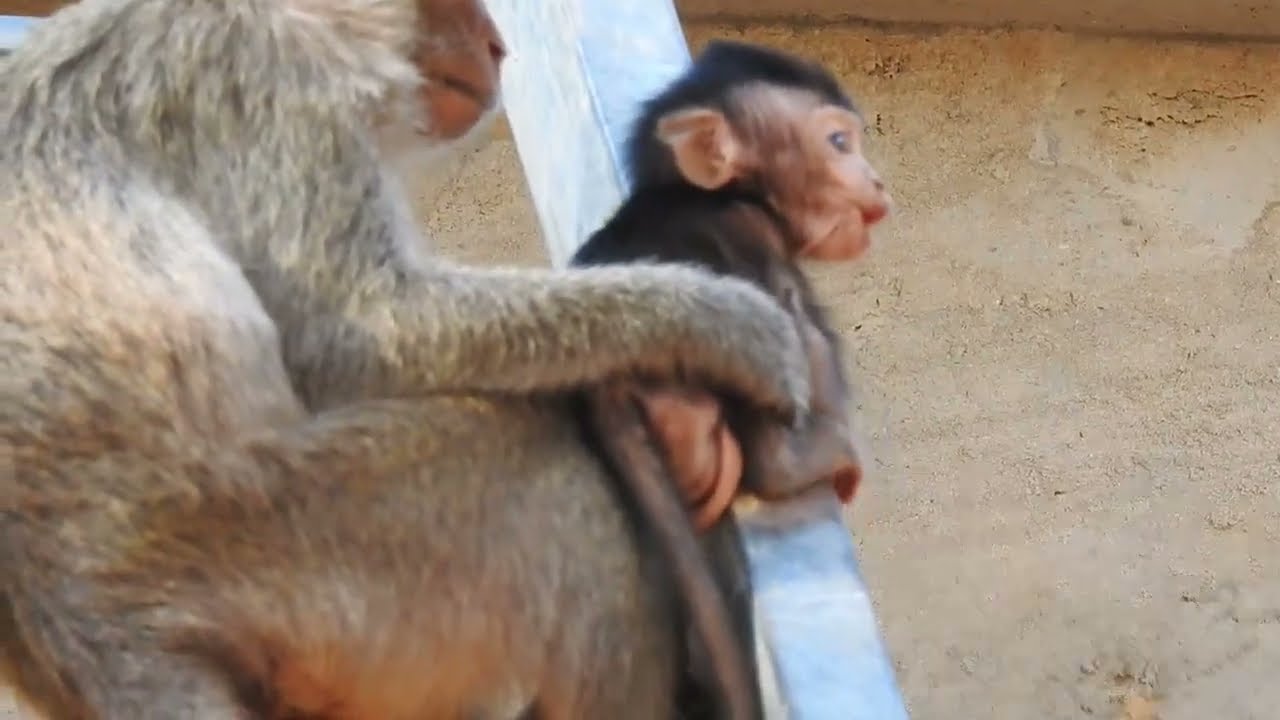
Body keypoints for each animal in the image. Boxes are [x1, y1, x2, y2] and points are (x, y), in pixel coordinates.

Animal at [0, 1, 822, 718]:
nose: (496, 44)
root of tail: (71, 623)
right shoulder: (268, 77)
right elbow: (370, 332)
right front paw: (727, 325)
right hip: (236, 533)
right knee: (546, 464)